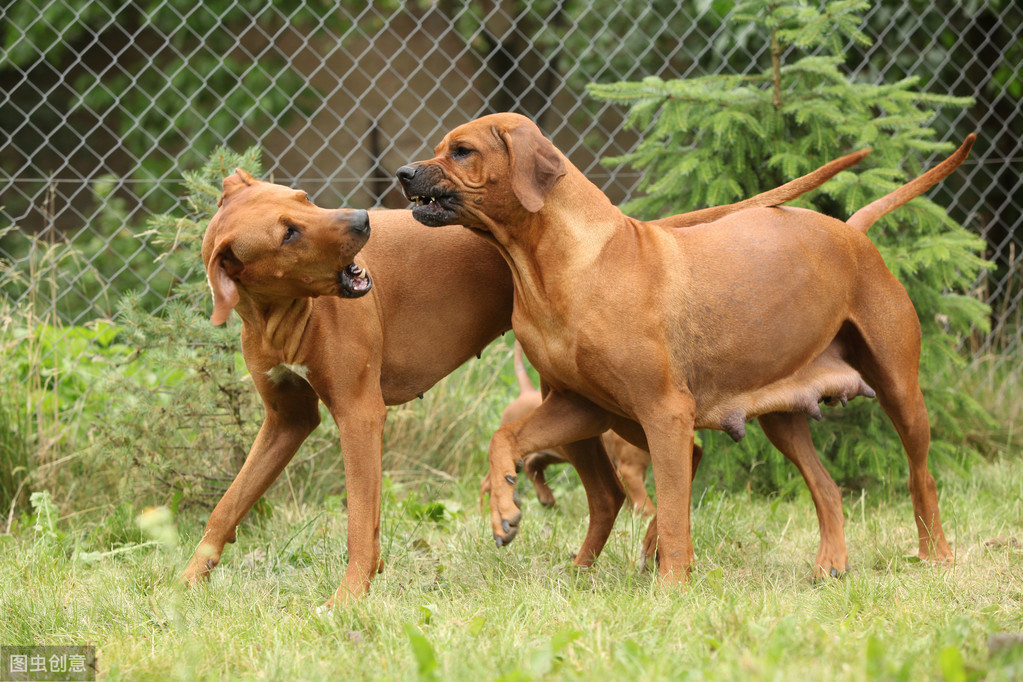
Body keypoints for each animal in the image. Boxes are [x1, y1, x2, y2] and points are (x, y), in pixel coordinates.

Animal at [182, 148, 871, 601]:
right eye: (288, 232)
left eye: (303, 200)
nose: (362, 221)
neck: (280, 313)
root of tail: (633, 229)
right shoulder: (287, 421)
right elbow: (229, 503)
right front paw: (192, 576)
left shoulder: (359, 414)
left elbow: (358, 520)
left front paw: (352, 594)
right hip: (576, 402)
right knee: (611, 491)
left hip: (612, 404)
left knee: (669, 462)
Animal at [396, 114, 973, 584]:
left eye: (462, 151)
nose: (403, 172)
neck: (564, 264)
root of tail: (852, 231)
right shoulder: (578, 405)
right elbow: (504, 439)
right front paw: (504, 509)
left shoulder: (665, 411)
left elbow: (673, 508)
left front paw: (672, 586)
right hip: (769, 416)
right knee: (826, 488)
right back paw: (830, 563)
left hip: (900, 390)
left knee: (921, 476)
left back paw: (937, 555)